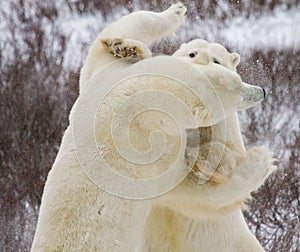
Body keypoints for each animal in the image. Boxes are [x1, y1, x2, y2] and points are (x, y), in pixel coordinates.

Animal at [31, 3, 276, 252]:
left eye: (235, 78)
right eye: (236, 94)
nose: (262, 92)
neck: (132, 103)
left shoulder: (105, 81)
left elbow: (117, 34)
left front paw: (136, 39)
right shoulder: (155, 158)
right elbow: (197, 196)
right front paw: (261, 160)